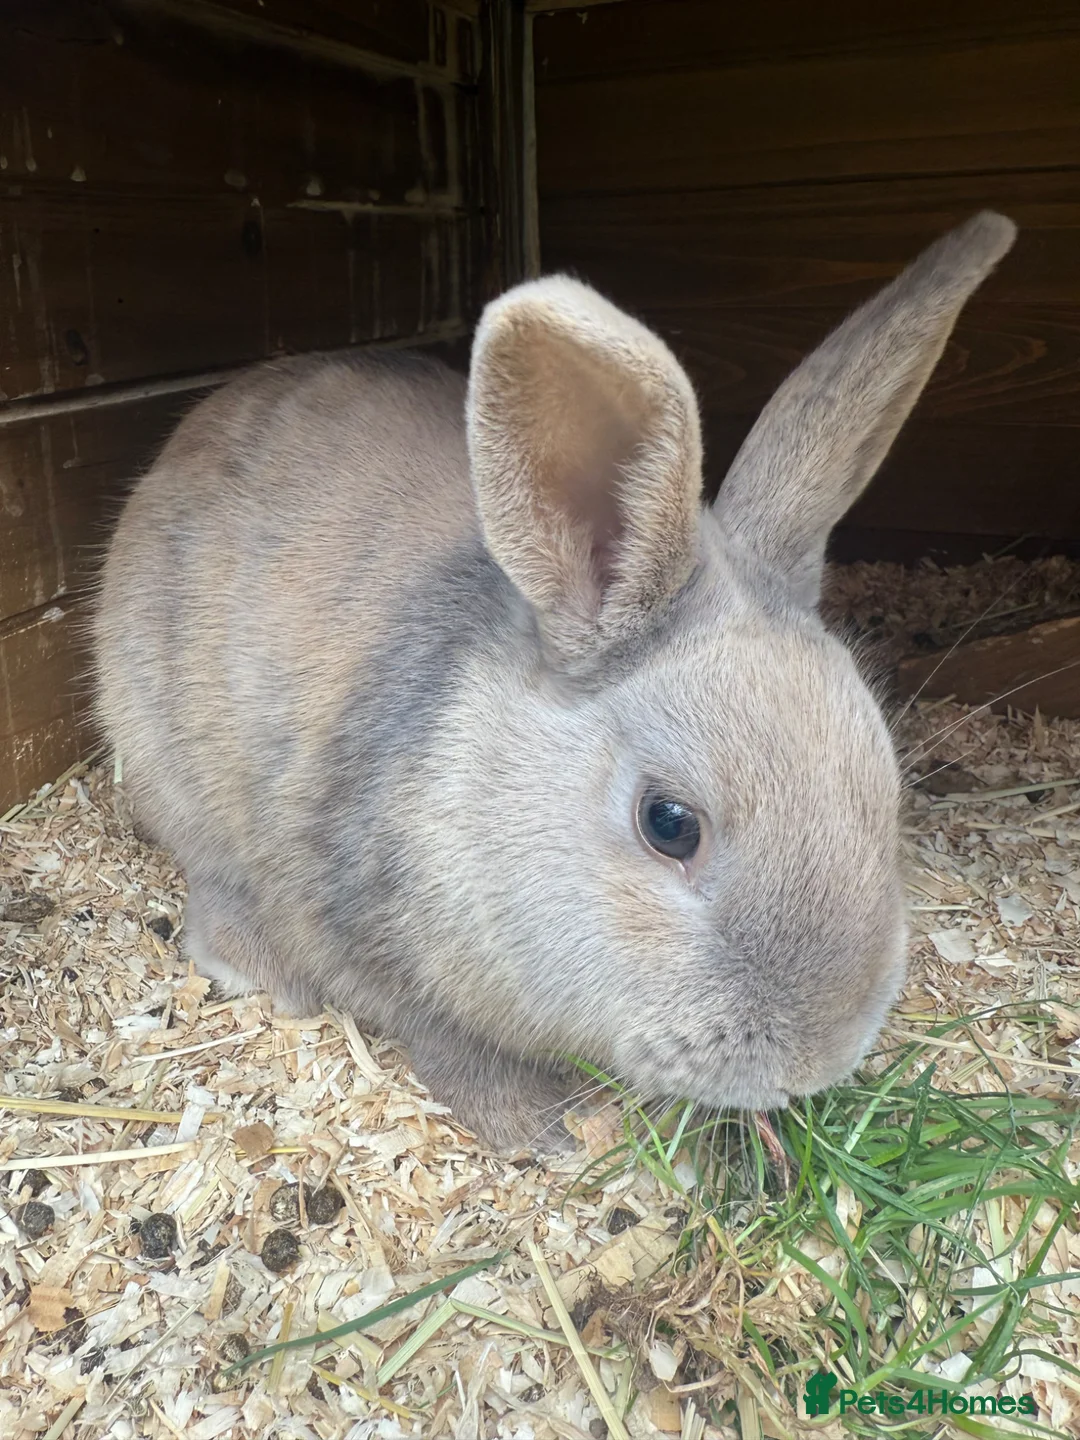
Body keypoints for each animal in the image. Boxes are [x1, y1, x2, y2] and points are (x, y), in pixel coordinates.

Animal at [93, 211, 1016, 1153]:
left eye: (888, 792)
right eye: (669, 823)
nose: (814, 1061)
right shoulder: (356, 926)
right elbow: (444, 1039)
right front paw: (537, 1127)